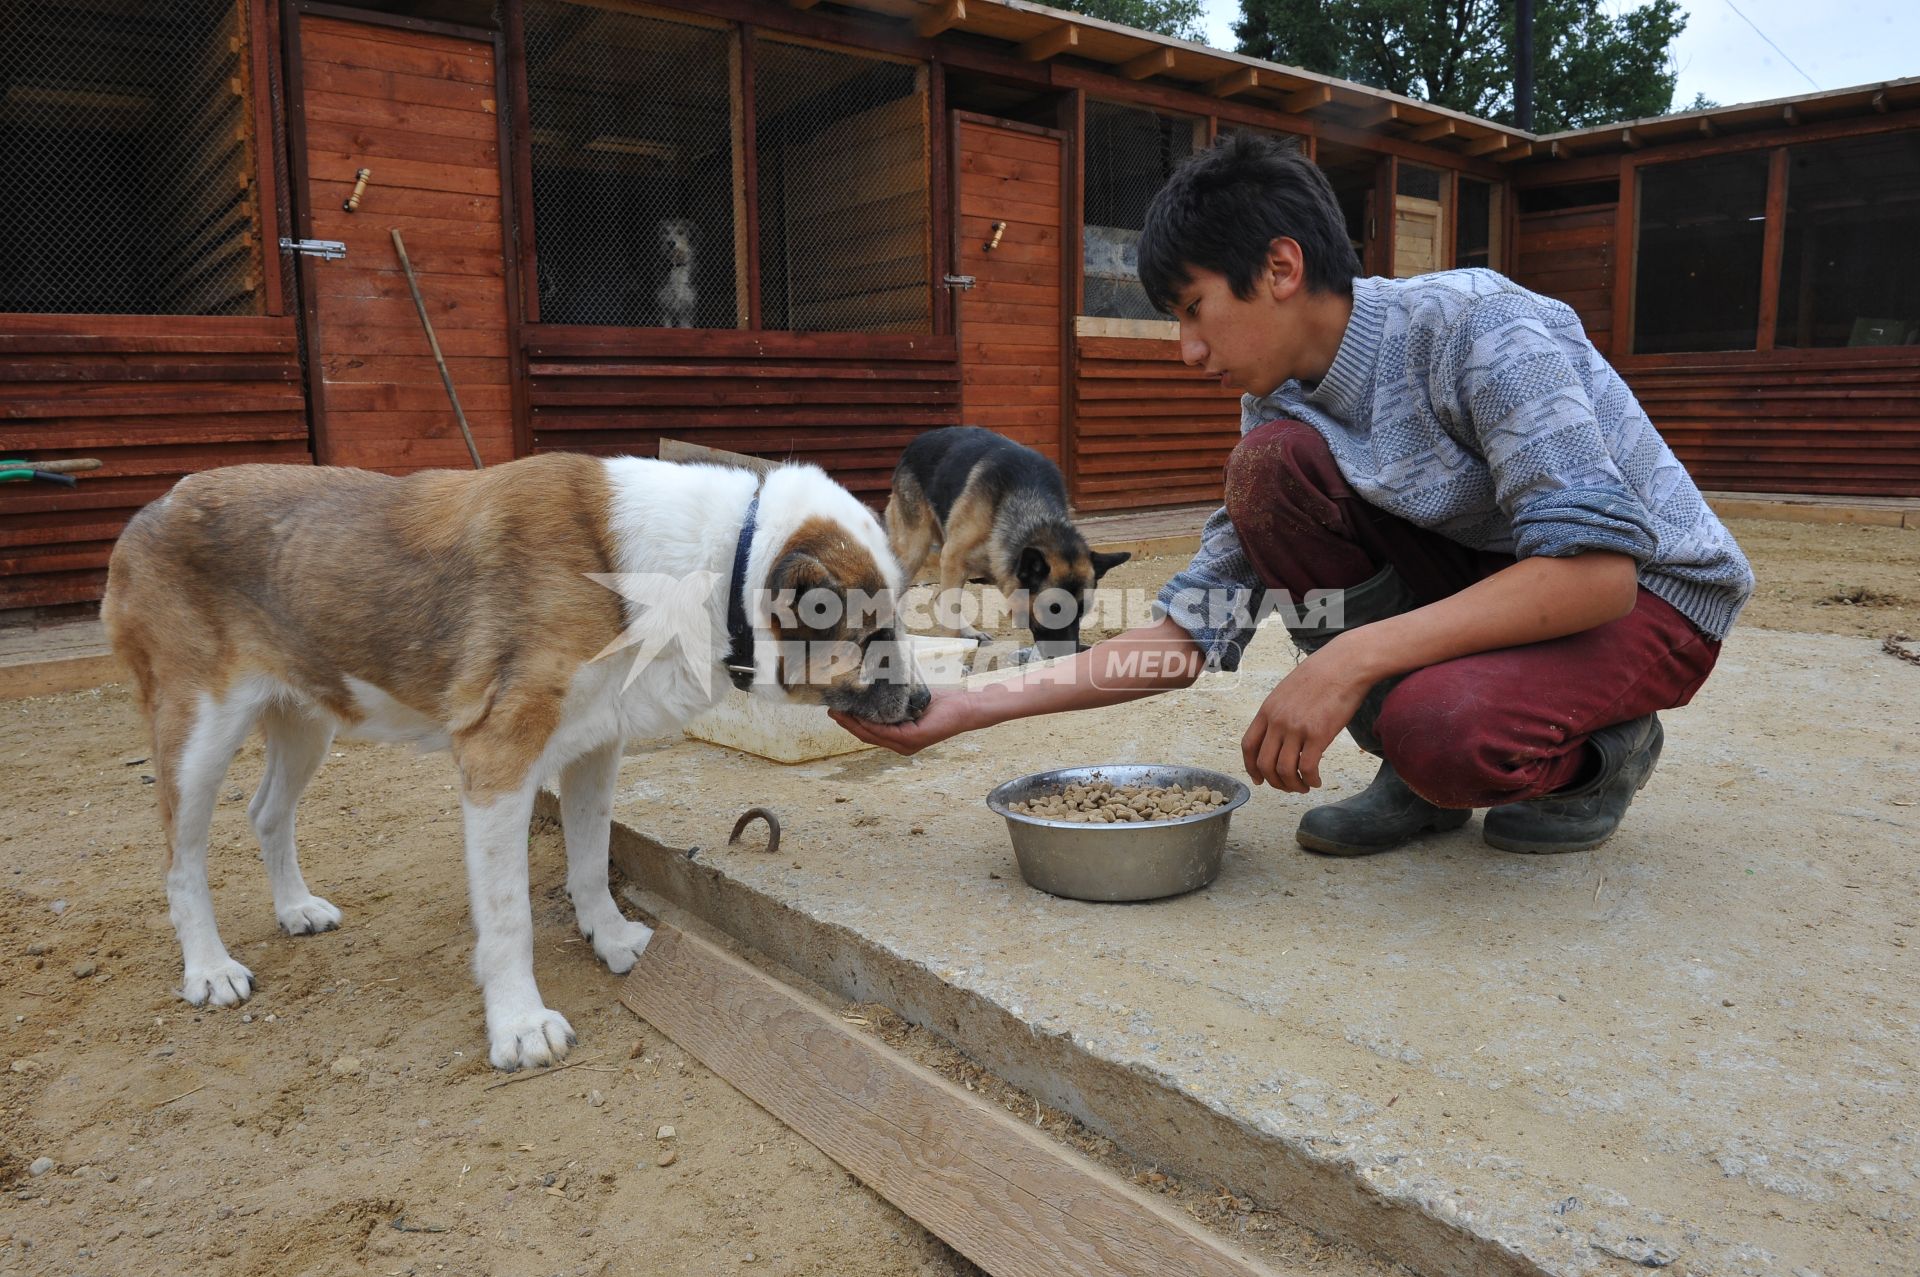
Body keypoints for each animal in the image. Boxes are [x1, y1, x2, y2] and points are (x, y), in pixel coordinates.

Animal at [105, 453, 929, 1067]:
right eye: (870, 633)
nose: (923, 702)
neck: (718, 560)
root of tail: (156, 504)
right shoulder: (497, 762)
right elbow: (508, 918)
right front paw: (518, 1022)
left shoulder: (596, 747)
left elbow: (591, 863)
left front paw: (610, 938)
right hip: (200, 732)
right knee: (180, 860)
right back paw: (208, 968)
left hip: (309, 718)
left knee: (267, 811)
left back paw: (294, 908)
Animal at [883, 426, 1121, 652]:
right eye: (1053, 610)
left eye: (1081, 612)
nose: (1068, 656)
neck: (1029, 501)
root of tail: (916, 441)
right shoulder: (952, 559)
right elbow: (950, 618)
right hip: (914, 551)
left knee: (941, 597)